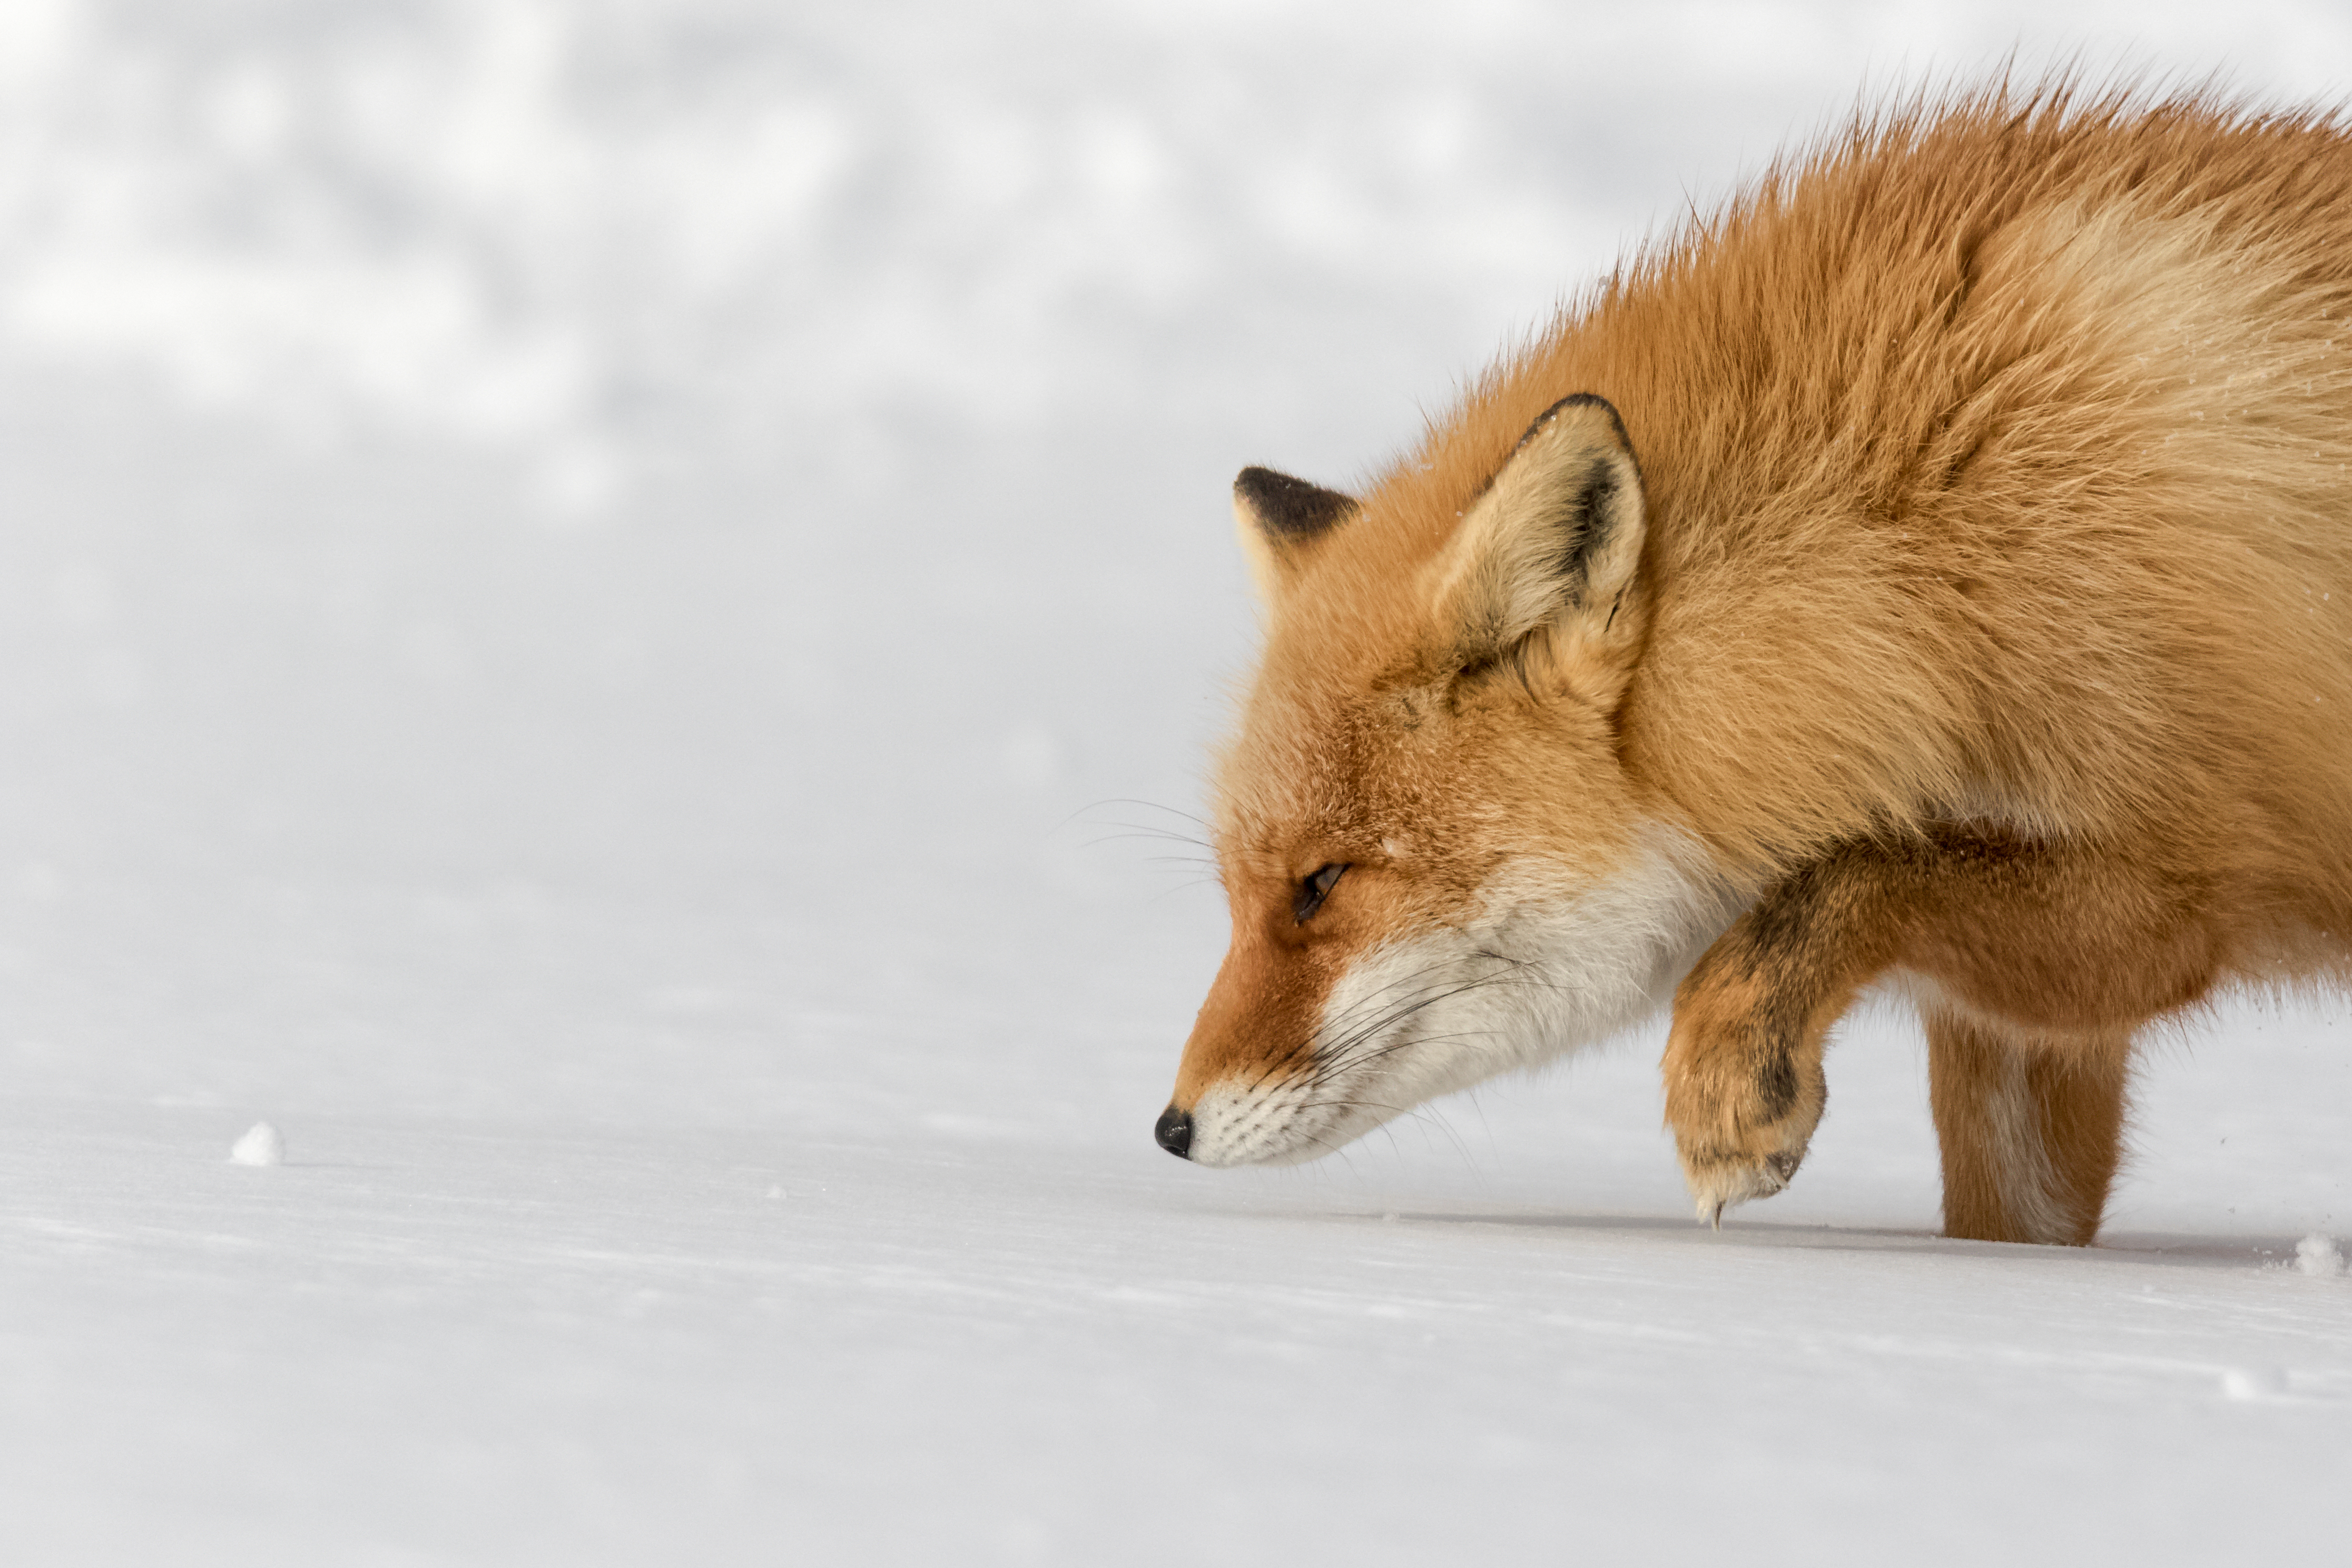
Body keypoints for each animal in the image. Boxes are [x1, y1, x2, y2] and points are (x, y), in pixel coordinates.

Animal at [1147, 85, 2352, 1241]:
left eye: (1322, 884)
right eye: (1240, 892)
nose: (1171, 1128)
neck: (1932, 524)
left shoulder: (2184, 877)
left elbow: (1852, 870)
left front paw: (1723, 1085)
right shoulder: (2018, 1020)